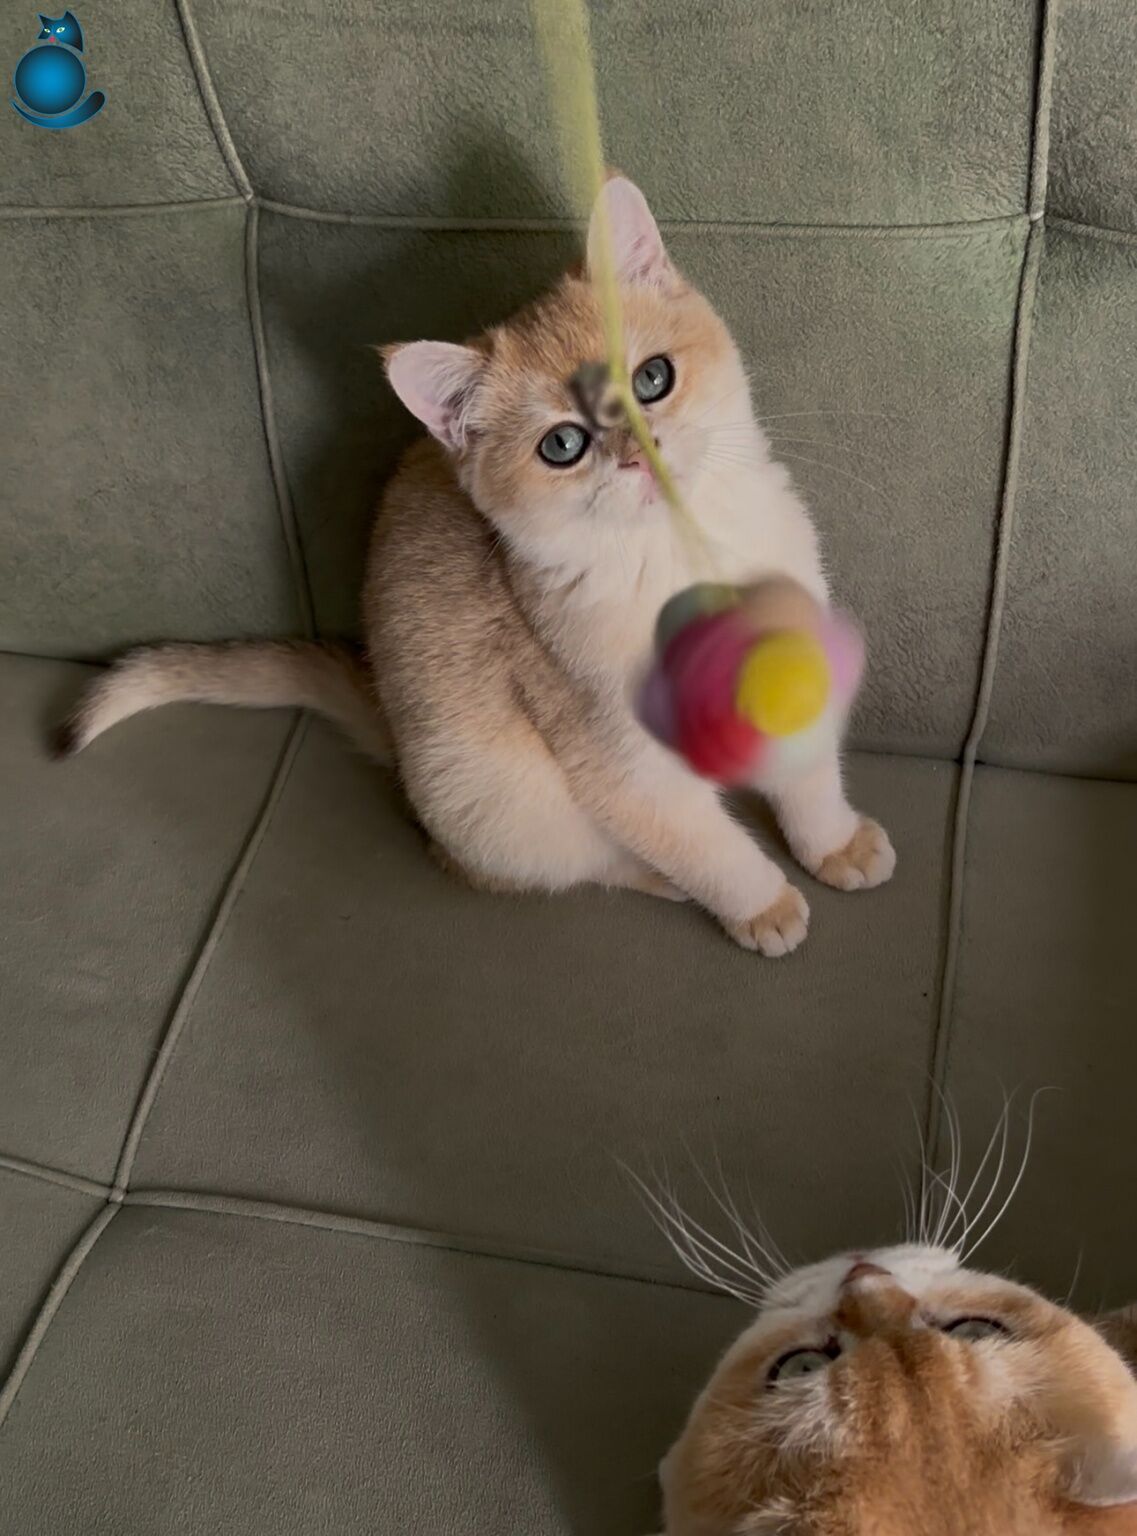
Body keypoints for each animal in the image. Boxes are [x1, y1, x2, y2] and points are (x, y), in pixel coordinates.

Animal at [57, 176, 894, 956]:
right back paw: (656, 880)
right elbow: (707, 846)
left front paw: (833, 844)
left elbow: (806, 774)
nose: (633, 452)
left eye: (651, 378)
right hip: (499, 800)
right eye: (562, 444)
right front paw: (763, 904)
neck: (680, 559)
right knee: (540, 864)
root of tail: (395, 737)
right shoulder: (620, 764)